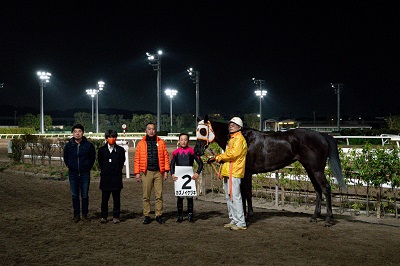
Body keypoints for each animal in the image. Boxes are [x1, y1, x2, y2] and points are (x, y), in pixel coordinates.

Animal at [194, 115, 346, 227]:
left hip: (317, 170)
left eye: (203, 130)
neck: (244, 139)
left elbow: (246, 193)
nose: (197, 150)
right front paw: (246, 215)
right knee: (318, 190)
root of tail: (322, 135)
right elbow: (244, 194)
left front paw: (248, 216)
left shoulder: (247, 173)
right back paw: (315, 217)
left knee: (326, 188)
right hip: (310, 169)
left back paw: (328, 219)